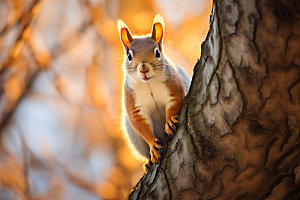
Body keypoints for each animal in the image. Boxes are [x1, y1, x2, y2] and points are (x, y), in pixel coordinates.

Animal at [117, 14, 190, 172]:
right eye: (129, 56)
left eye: (157, 52)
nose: (144, 69)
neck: (148, 83)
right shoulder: (134, 103)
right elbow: (140, 123)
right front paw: (152, 144)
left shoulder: (173, 87)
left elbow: (175, 102)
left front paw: (170, 121)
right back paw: (148, 162)